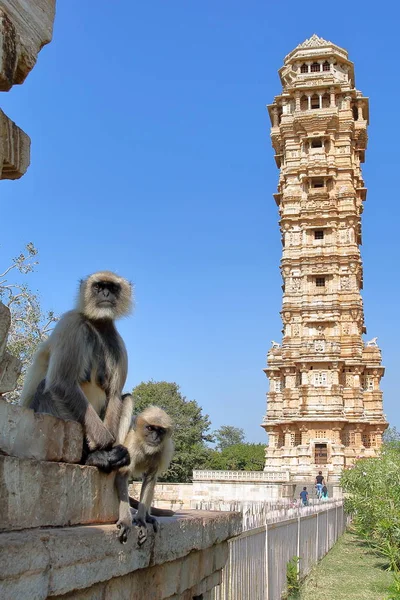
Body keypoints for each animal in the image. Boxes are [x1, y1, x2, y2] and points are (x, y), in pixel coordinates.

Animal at [19, 270, 133, 472]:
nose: (105, 294)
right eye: (98, 287)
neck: (97, 325)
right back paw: (92, 457)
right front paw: (105, 444)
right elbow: (62, 383)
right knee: (48, 386)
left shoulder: (117, 342)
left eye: (112, 288)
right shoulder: (71, 323)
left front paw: (113, 450)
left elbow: (114, 394)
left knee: (127, 398)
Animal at [114, 400, 173, 548]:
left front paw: (141, 520)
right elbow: (123, 474)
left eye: (160, 431)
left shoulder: (163, 450)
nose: (155, 437)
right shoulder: (132, 446)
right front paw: (126, 521)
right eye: (150, 428)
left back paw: (147, 517)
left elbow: (150, 478)